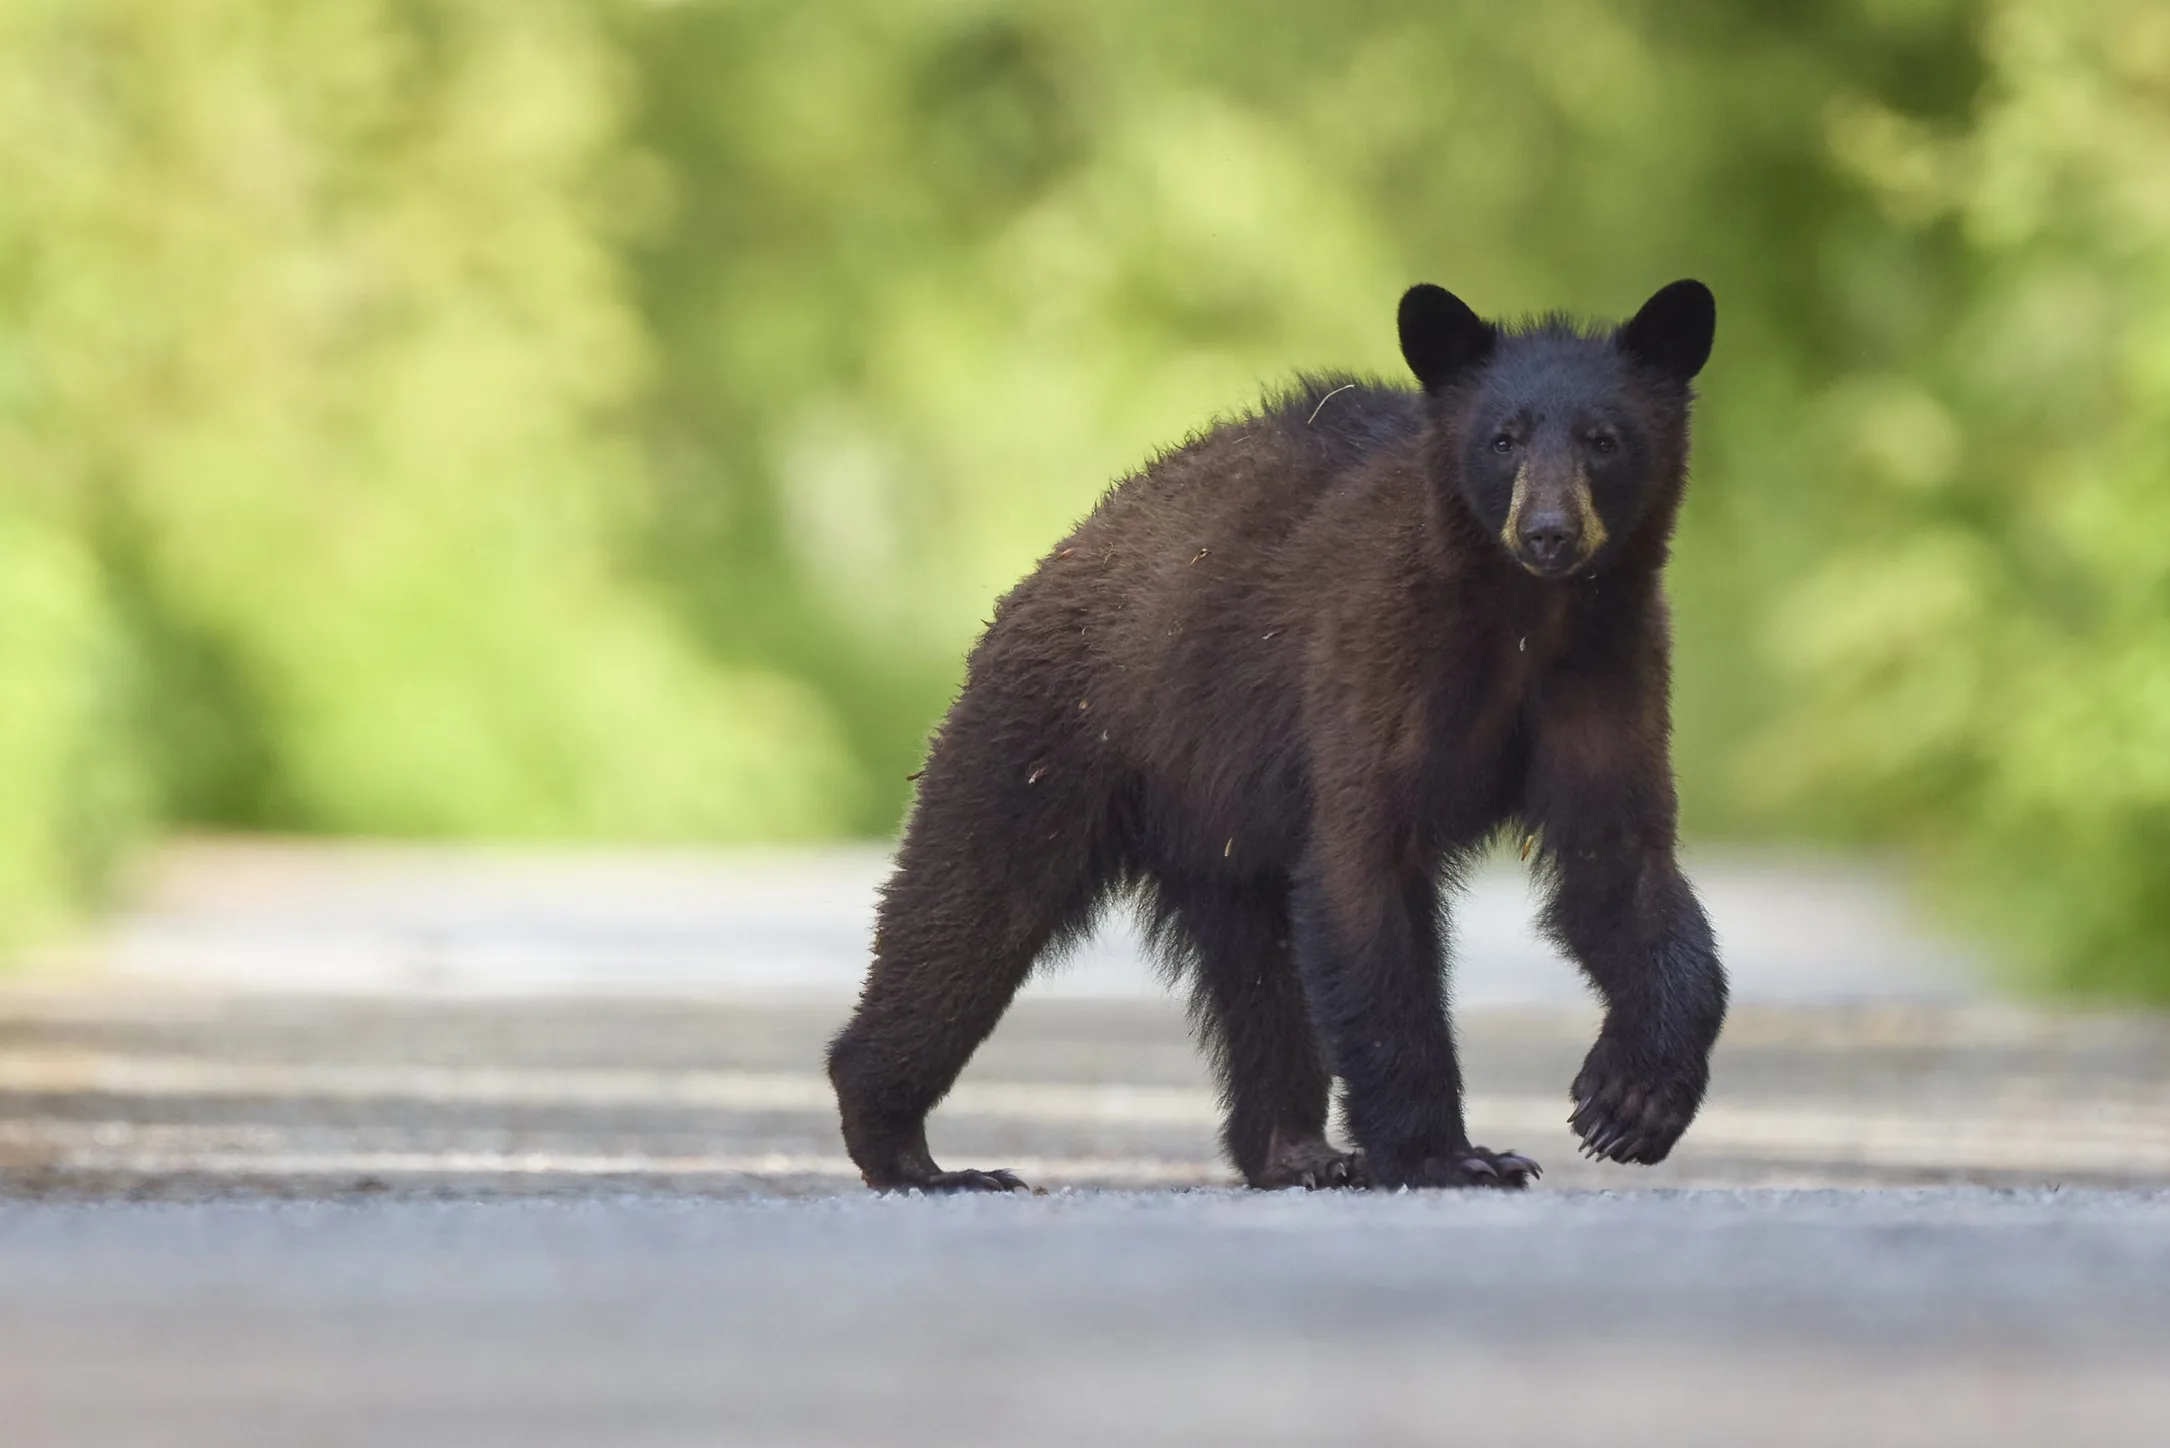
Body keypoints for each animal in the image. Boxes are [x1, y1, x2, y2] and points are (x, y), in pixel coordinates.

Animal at [827, 279, 1729, 1192]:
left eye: (1604, 439)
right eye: (1501, 439)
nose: (1547, 530)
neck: (1524, 616)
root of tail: (1062, 551)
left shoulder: (1603, 670)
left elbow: (1619, 865)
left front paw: (1632, 1099)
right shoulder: (1377, 655)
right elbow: (1366, 879)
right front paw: (1448, 1153)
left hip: (1222, 831)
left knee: (1259, 979)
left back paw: (1295, 1150)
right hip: (1059, 734)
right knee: (967, 912)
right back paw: (913, 1151)